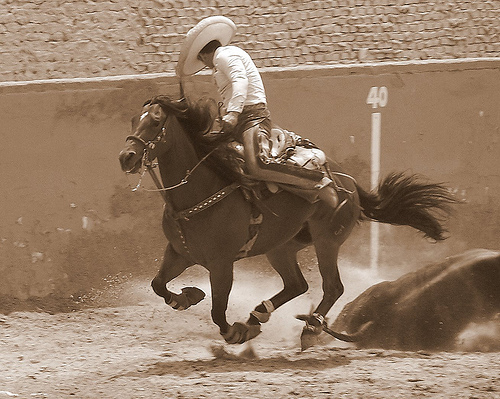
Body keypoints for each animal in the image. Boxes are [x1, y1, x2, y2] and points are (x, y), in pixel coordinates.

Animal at [118, 95, 458, 348]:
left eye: (156, 121)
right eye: (134, 120)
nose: (126, 157)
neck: (199, 195)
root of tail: (345, 180)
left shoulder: (222, 264)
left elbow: (217, 311)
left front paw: (235, 332)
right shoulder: (179, 253)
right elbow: (158, 284)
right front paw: (188, 297)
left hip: (326, 241)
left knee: (332, 287)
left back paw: (309, 329)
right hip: (280, 248)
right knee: (297, 284)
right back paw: (258, 315)